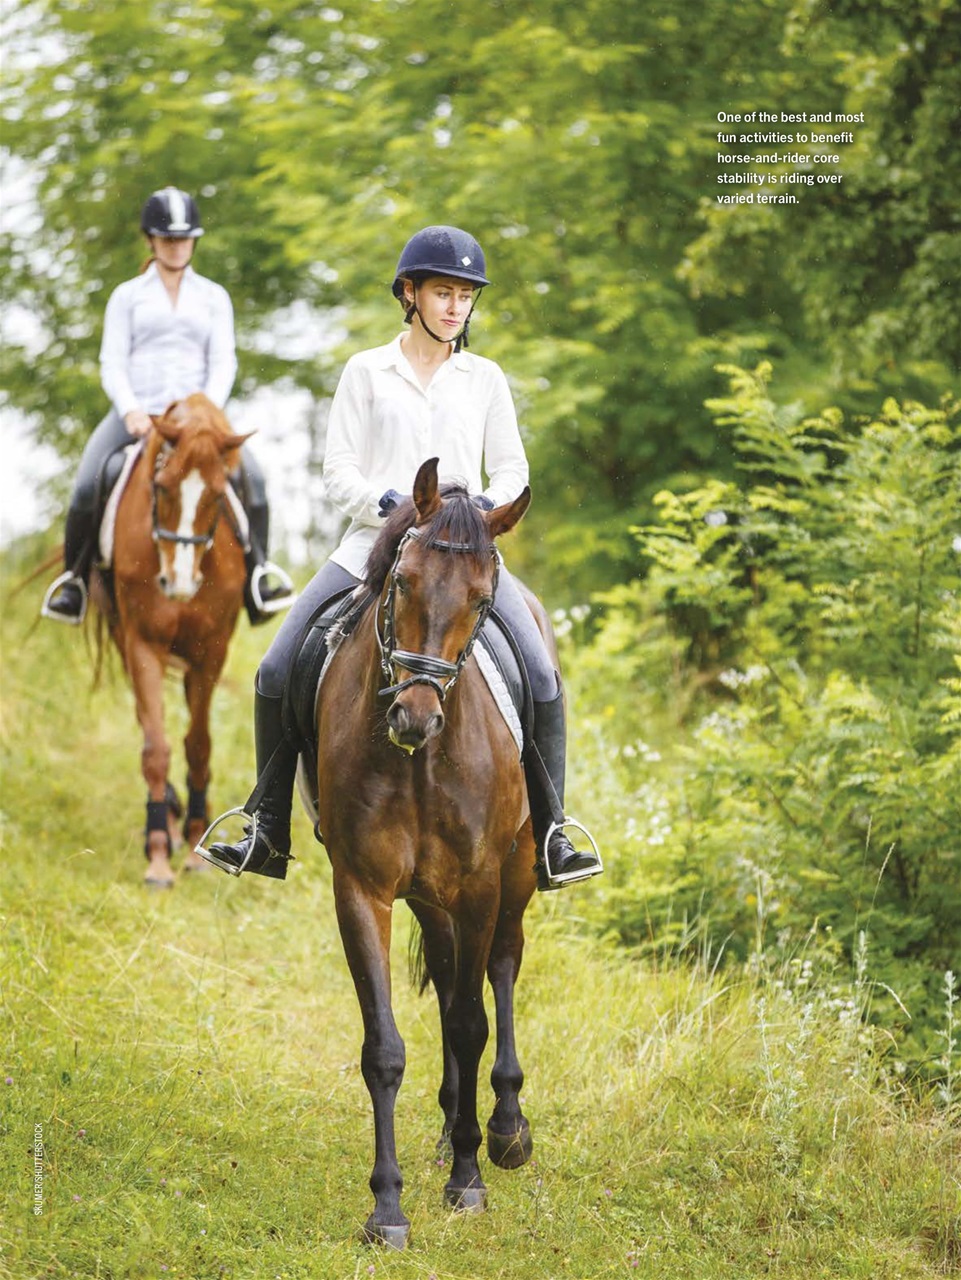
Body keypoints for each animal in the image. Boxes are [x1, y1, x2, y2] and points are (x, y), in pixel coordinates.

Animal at [92, 393, 251, 886]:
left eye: (218, 495)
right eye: (161, 487)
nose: (178, 583)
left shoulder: (211, 651)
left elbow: (198, 744)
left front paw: (197, 843)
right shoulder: (142, 643)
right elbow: (155, 748)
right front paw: (159, 853)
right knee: (148, 723)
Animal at [314, 457, 540, 1247]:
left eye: (481, 600)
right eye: (403, 581)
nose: (415, 716)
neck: (418, 761)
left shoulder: (479, 885)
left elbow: (471, 1024)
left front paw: (469, 1179)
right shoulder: (361, 888)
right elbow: (384, 1049)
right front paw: (386, 1207)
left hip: (516, 873)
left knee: (499, 967)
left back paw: (503, 1129)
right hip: (428, 896)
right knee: (446, 979)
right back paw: (452, 1127)